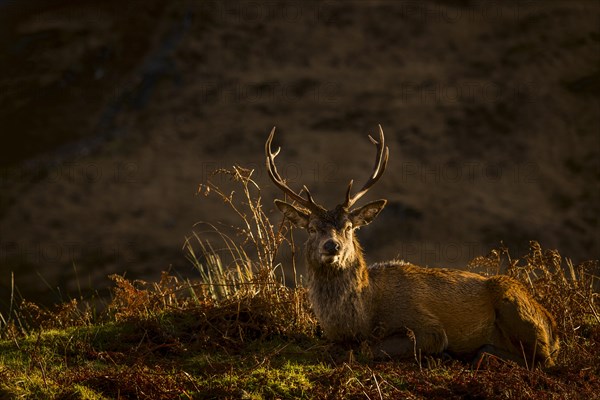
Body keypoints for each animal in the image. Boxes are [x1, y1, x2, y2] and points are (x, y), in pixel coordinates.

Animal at [264, 126, 560, 368]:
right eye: (312, 228)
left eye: (348, 227)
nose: (332, 246)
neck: (361, 319)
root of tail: (554, 329)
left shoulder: (429, 329)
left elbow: (370, 349)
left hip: (513, 300)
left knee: (541, 360)